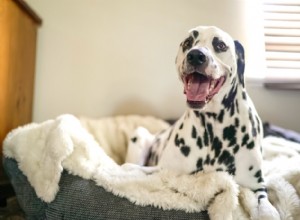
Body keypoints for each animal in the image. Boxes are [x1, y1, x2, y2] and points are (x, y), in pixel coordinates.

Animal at [125, 25, 280, 218]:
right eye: (188, 43)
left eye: (220, 45)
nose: (196, 55)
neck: (214, 128)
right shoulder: (164, 171)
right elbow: (134, 169)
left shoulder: (256, 185)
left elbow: (266, 208)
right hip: (139, 135)